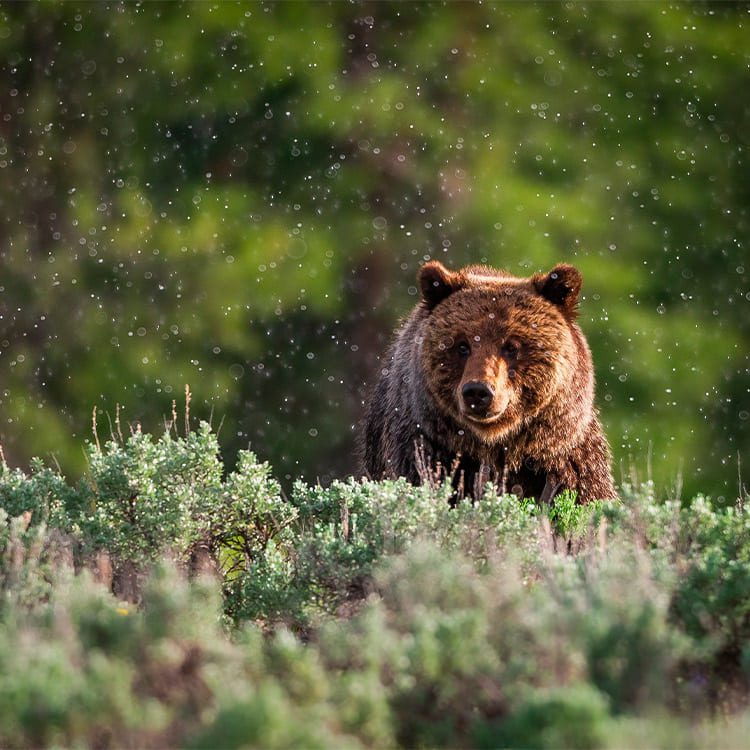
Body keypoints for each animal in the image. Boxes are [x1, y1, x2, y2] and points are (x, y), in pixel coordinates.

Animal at [362, 260, 615, 503]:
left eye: (511, 347)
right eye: (462, 345)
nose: (477, 391)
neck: (496, 445)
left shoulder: (565, 458)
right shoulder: (425, 447)